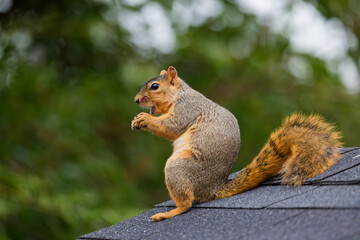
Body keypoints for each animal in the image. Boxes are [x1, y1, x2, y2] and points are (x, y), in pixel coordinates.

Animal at [130, 65, 344, 221]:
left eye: (155, 86)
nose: (136, 100)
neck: (179, 95)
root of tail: (212, 190)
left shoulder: (187, 109)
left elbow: (172, 126)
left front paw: (143, 119)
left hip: (179, 168)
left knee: (187, 203)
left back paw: (168, 213)